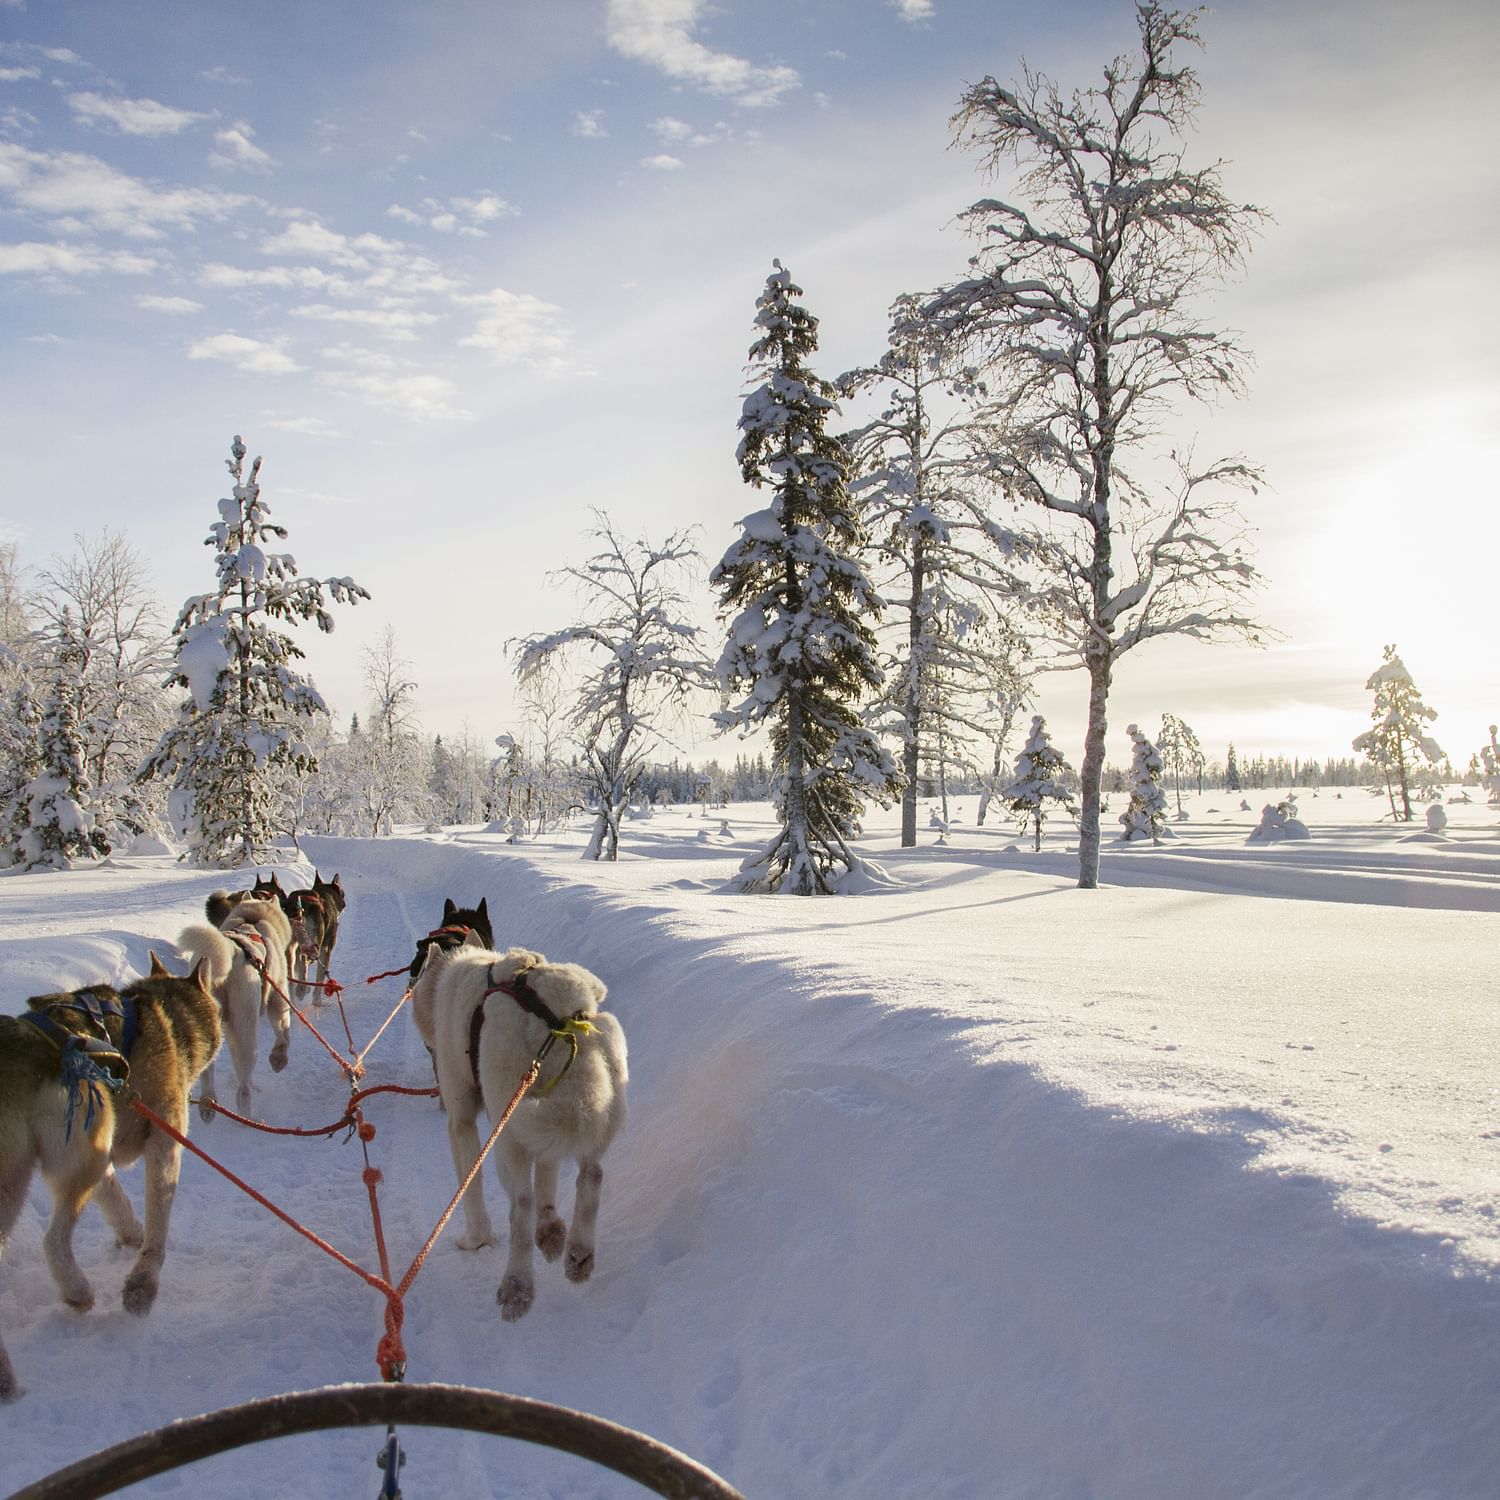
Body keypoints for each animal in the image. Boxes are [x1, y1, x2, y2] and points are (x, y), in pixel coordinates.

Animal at [0, 954, 219, 1398]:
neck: (163, 1016)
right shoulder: (164, 1137)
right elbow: (157, 1226)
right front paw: (143, 1284)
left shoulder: (109, 1158)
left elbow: (119, 1203)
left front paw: (130, 1237)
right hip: (80, 1156)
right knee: (53, 1241)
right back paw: (76, 1292)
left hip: (35, 1174)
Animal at [177, 888, 294, 1128]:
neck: (253, 920)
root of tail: (230, 950)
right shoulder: (278, 998)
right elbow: (283, 1033)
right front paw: (278, 1059)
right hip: (244, 1028)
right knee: (243, 1085)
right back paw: (248, 1117)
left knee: (208, 1072)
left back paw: (208, 1103)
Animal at [429, 942, 627, 1320]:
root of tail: (563, 1021)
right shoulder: (544, 1136)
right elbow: (548, 1175)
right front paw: (550, 1230)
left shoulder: (460, 1122)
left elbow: (471, 1188)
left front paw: (474, 1240)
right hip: (597, 1103)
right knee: (591, 1175)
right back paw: (578, 1253)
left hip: (507, 1130)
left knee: (521, 1204)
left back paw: (517, 1286)